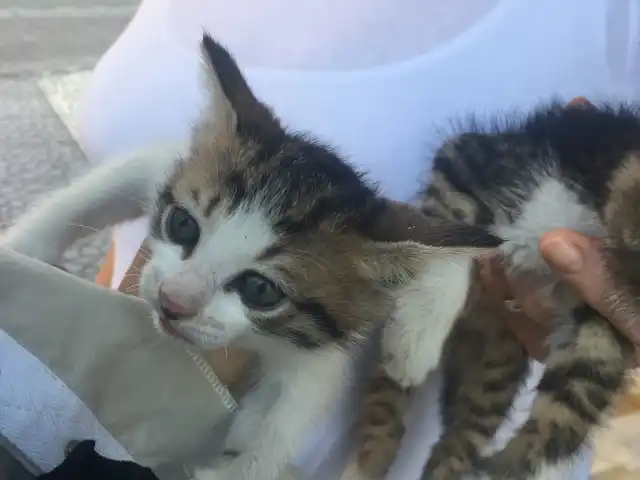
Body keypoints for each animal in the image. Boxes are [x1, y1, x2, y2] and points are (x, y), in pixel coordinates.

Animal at [1, 34, 500, 480]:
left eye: (260, 289)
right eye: (182, 225)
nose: (172, 302)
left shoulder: (323, 342)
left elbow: (298, 405)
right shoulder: (164, 163)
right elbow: (96, 191)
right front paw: (22, 249)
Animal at [344, 99, 640, 478]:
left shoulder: (598, 312)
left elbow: (575, 400)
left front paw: (506, 464)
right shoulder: (468, 161)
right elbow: (448, 238)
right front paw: (415, 344)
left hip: (496, 368)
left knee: (460, 439)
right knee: (386, 403)